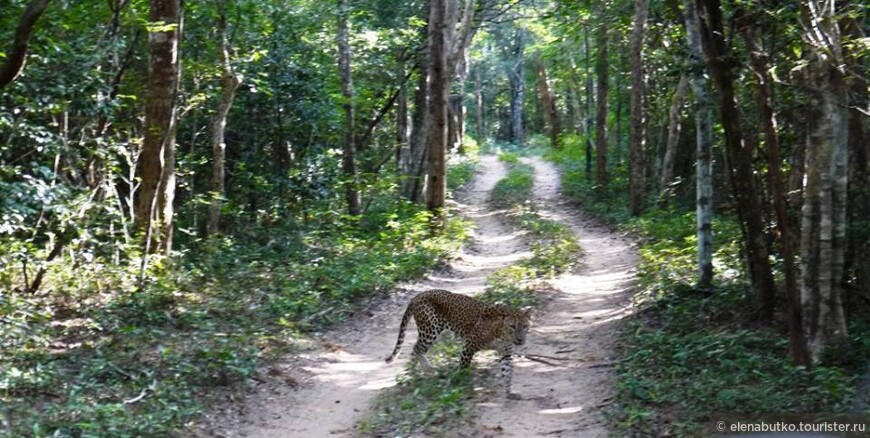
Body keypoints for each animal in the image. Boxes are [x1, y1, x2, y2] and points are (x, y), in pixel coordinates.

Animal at [386, 290, 532, 398]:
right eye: (512, 326)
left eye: (525, 326)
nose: (520, 340)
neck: (503, 334)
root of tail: (419, 295)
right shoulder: (469, 345)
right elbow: (464, 368)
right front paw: (461, 385)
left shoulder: (505, 353)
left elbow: (508, 373)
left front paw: (509, 392)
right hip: (430, 329)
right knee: (416, 348)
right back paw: (428, 369)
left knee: (416, 351)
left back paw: (414, 373)